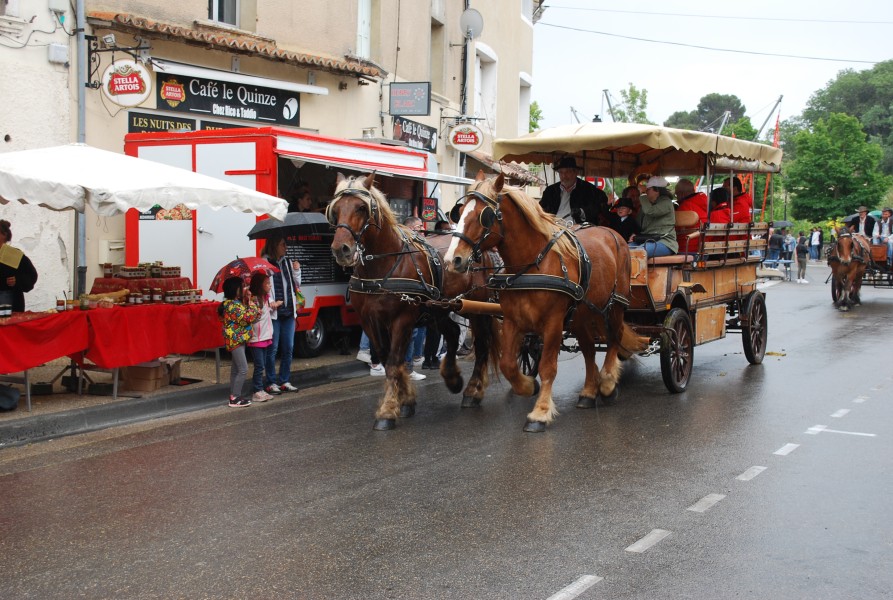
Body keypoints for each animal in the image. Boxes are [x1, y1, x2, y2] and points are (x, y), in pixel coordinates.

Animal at [326, 173, 498, 432]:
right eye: (335, 210)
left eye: (361, 208)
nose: (341, 249)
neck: (383, 267)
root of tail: (483, 251)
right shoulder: (370, 322)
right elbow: (387, 359)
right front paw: (405, 400)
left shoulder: (402, 320)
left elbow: (395, 361)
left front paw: (388, 410)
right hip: (440, 309)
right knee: (453, 333)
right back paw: (452, 378)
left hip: (477, 309)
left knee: (481, 346)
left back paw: (472, 391)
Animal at [446, 173, 648, 432]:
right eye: (459, 212)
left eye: (484, 215)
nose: (452, 260)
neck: (532, 265)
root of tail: (612, 233)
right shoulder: (513, 320)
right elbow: (508, 364)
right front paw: (527, 385)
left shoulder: (553, 323)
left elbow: (548, 367)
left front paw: (540, 413)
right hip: (582, 315)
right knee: (589, 350)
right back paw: (588, 391)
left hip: (615, 305)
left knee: (613, 340)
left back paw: (607, 383)